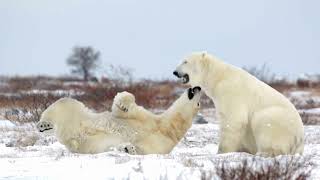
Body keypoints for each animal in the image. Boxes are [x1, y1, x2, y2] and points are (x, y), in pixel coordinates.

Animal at [37, 86, 201, 154]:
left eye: (199, 103)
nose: (198, 87)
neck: (168, 128)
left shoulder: (162, 144)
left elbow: (146, 150)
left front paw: (128, 148)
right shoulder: (147, 118)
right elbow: (124, 109)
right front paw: (124, 104)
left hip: (74, 136)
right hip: (78, 112)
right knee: (64, 102)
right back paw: (44, 124)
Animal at [174, 51, 304, 157]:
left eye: (185, 61)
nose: (175, 72)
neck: (217, 77)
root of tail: (300, 140)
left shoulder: (230, 91)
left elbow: (234, 119)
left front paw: (222, 151)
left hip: (279, 120)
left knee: (264, 121)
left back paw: (264, 152)